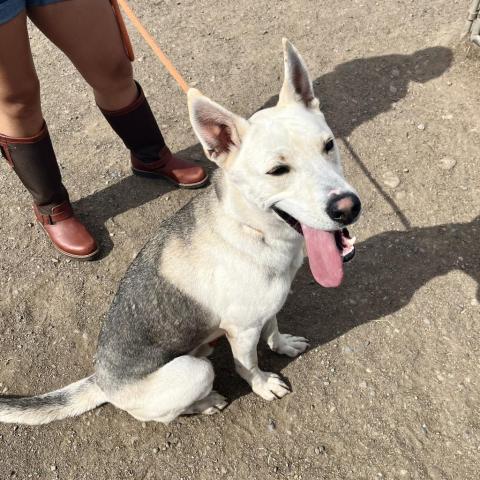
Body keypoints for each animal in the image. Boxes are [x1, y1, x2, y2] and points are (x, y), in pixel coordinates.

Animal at [0, 39, 360, 426]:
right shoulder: (242, 329)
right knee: (166, 412)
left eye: (329, 145)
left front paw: (282, 345)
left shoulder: (265, 309)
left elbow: (273, 328)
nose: (348, 207)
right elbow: (247, 365)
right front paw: (263, 385)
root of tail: (102, 381)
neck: (250, 228)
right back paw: (207, 402)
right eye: (277, 171)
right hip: (194, 371)